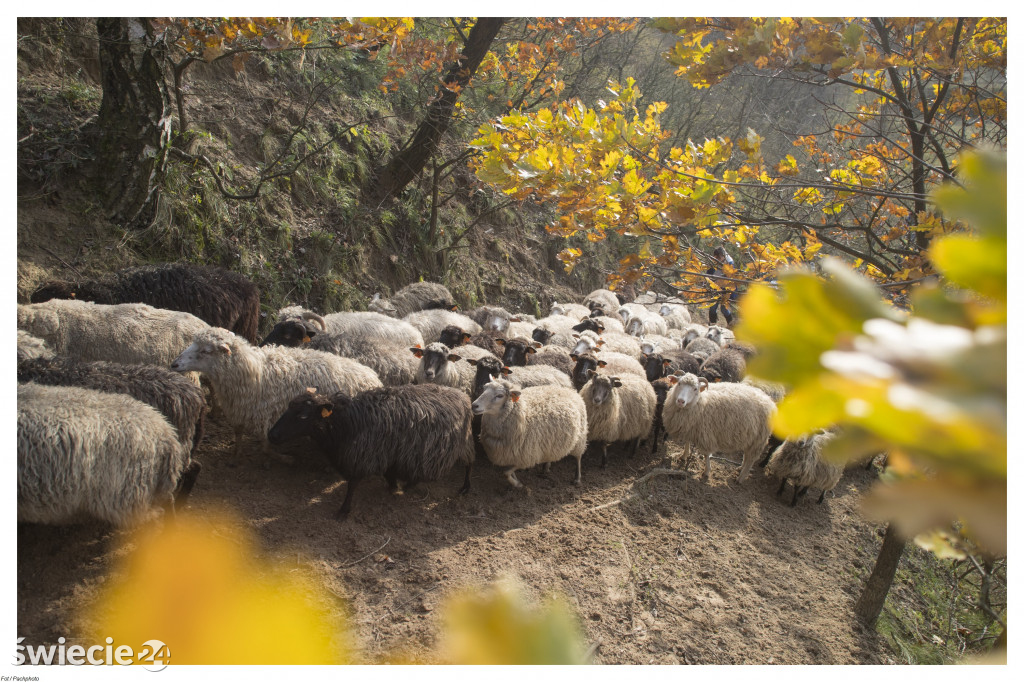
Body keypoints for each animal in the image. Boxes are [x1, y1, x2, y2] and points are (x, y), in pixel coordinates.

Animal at [169, 327, 382, 458]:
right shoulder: (240, 407)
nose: (174, 364)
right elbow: (239, 433)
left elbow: (266, 441)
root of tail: (373, 376)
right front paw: (236, 453)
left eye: (205, 351)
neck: (255, 371)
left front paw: (278, 455)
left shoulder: (266, 412)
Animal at [268, 382, 475, 516]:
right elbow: (388, 474)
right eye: (288, 408)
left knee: (468, 464)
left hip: (455, 445)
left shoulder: (364, 455)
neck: (346, 424)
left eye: (302, 416)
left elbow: (352, 484)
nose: (272, 435)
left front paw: (344, 510)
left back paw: (464, 487)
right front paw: (393, 486)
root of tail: (463, 396)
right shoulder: (386, 452)